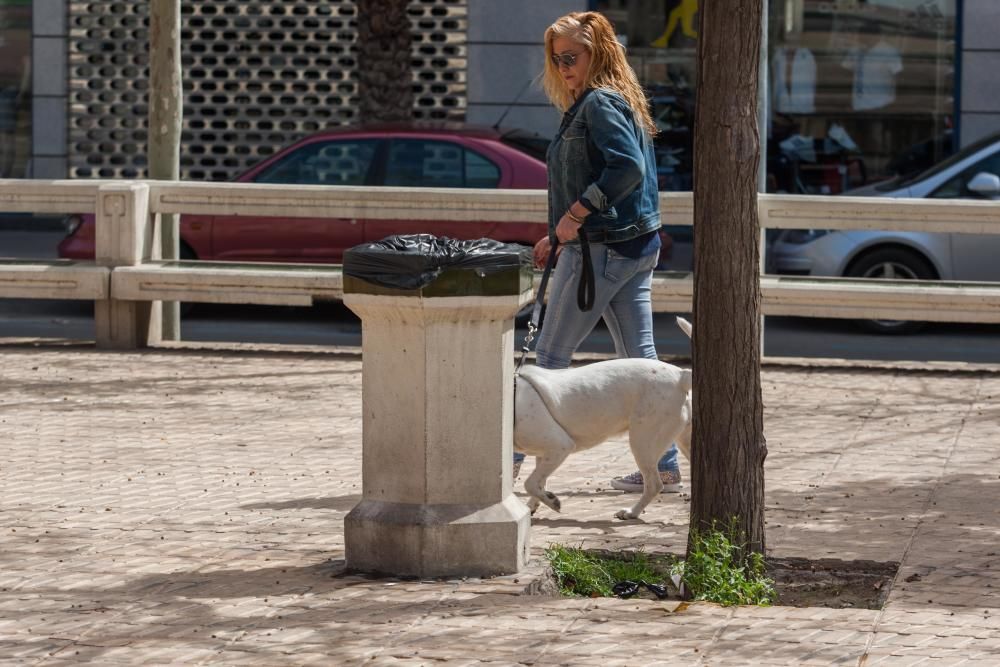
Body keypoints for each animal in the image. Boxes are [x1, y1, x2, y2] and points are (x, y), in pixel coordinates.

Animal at [512, 318, 692, 520]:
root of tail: (680, 375)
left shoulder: (560, 446)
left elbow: (530, 483)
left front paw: (551, 501)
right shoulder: (545, 454)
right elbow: (539, 482)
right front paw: (534, 505)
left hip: (643, 442)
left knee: (654, 484)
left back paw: (631, 513)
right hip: (683, 442)